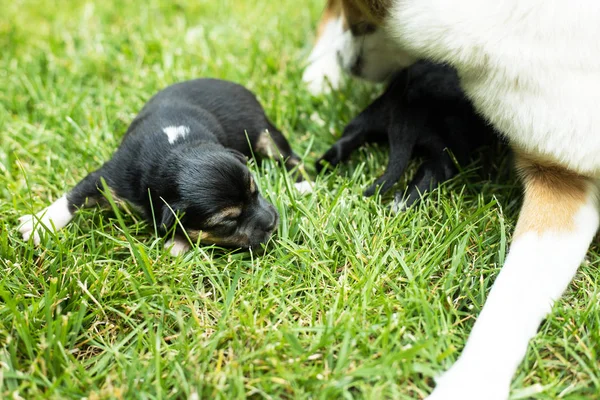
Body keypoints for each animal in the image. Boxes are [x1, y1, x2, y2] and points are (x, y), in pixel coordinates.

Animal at [19, 78, 308, 256]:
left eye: (255, 191)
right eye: (228, 221)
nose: (272, 222)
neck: (176, 149)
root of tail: (237, 86)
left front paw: (177, 245)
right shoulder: (112, 176)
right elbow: (73, 196)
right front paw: (40, 223)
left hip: (264, 132)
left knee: (291, 158)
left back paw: (303, 185)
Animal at [316, 61, 494, 211]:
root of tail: (412, 95)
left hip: (369, 118)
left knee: (344, 143)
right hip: (449, 151)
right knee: (433, 172)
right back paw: (402, 205)